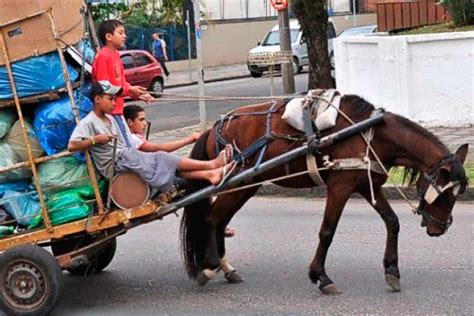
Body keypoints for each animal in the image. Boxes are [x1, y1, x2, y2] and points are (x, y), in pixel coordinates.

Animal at [180, 94, 468, 294]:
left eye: (458, 193)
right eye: (445, 194)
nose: (439, 229)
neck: (371, 133)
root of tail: (213, 128)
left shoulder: (366, 185)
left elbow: (392, 222)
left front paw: (392, 271)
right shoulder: (340, 187)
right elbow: (327, 232)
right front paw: (321, 277)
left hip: (246, 186)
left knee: (220, 221)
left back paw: (225, 267)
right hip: (237, 182)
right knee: (212, 219)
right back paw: (210, 266)